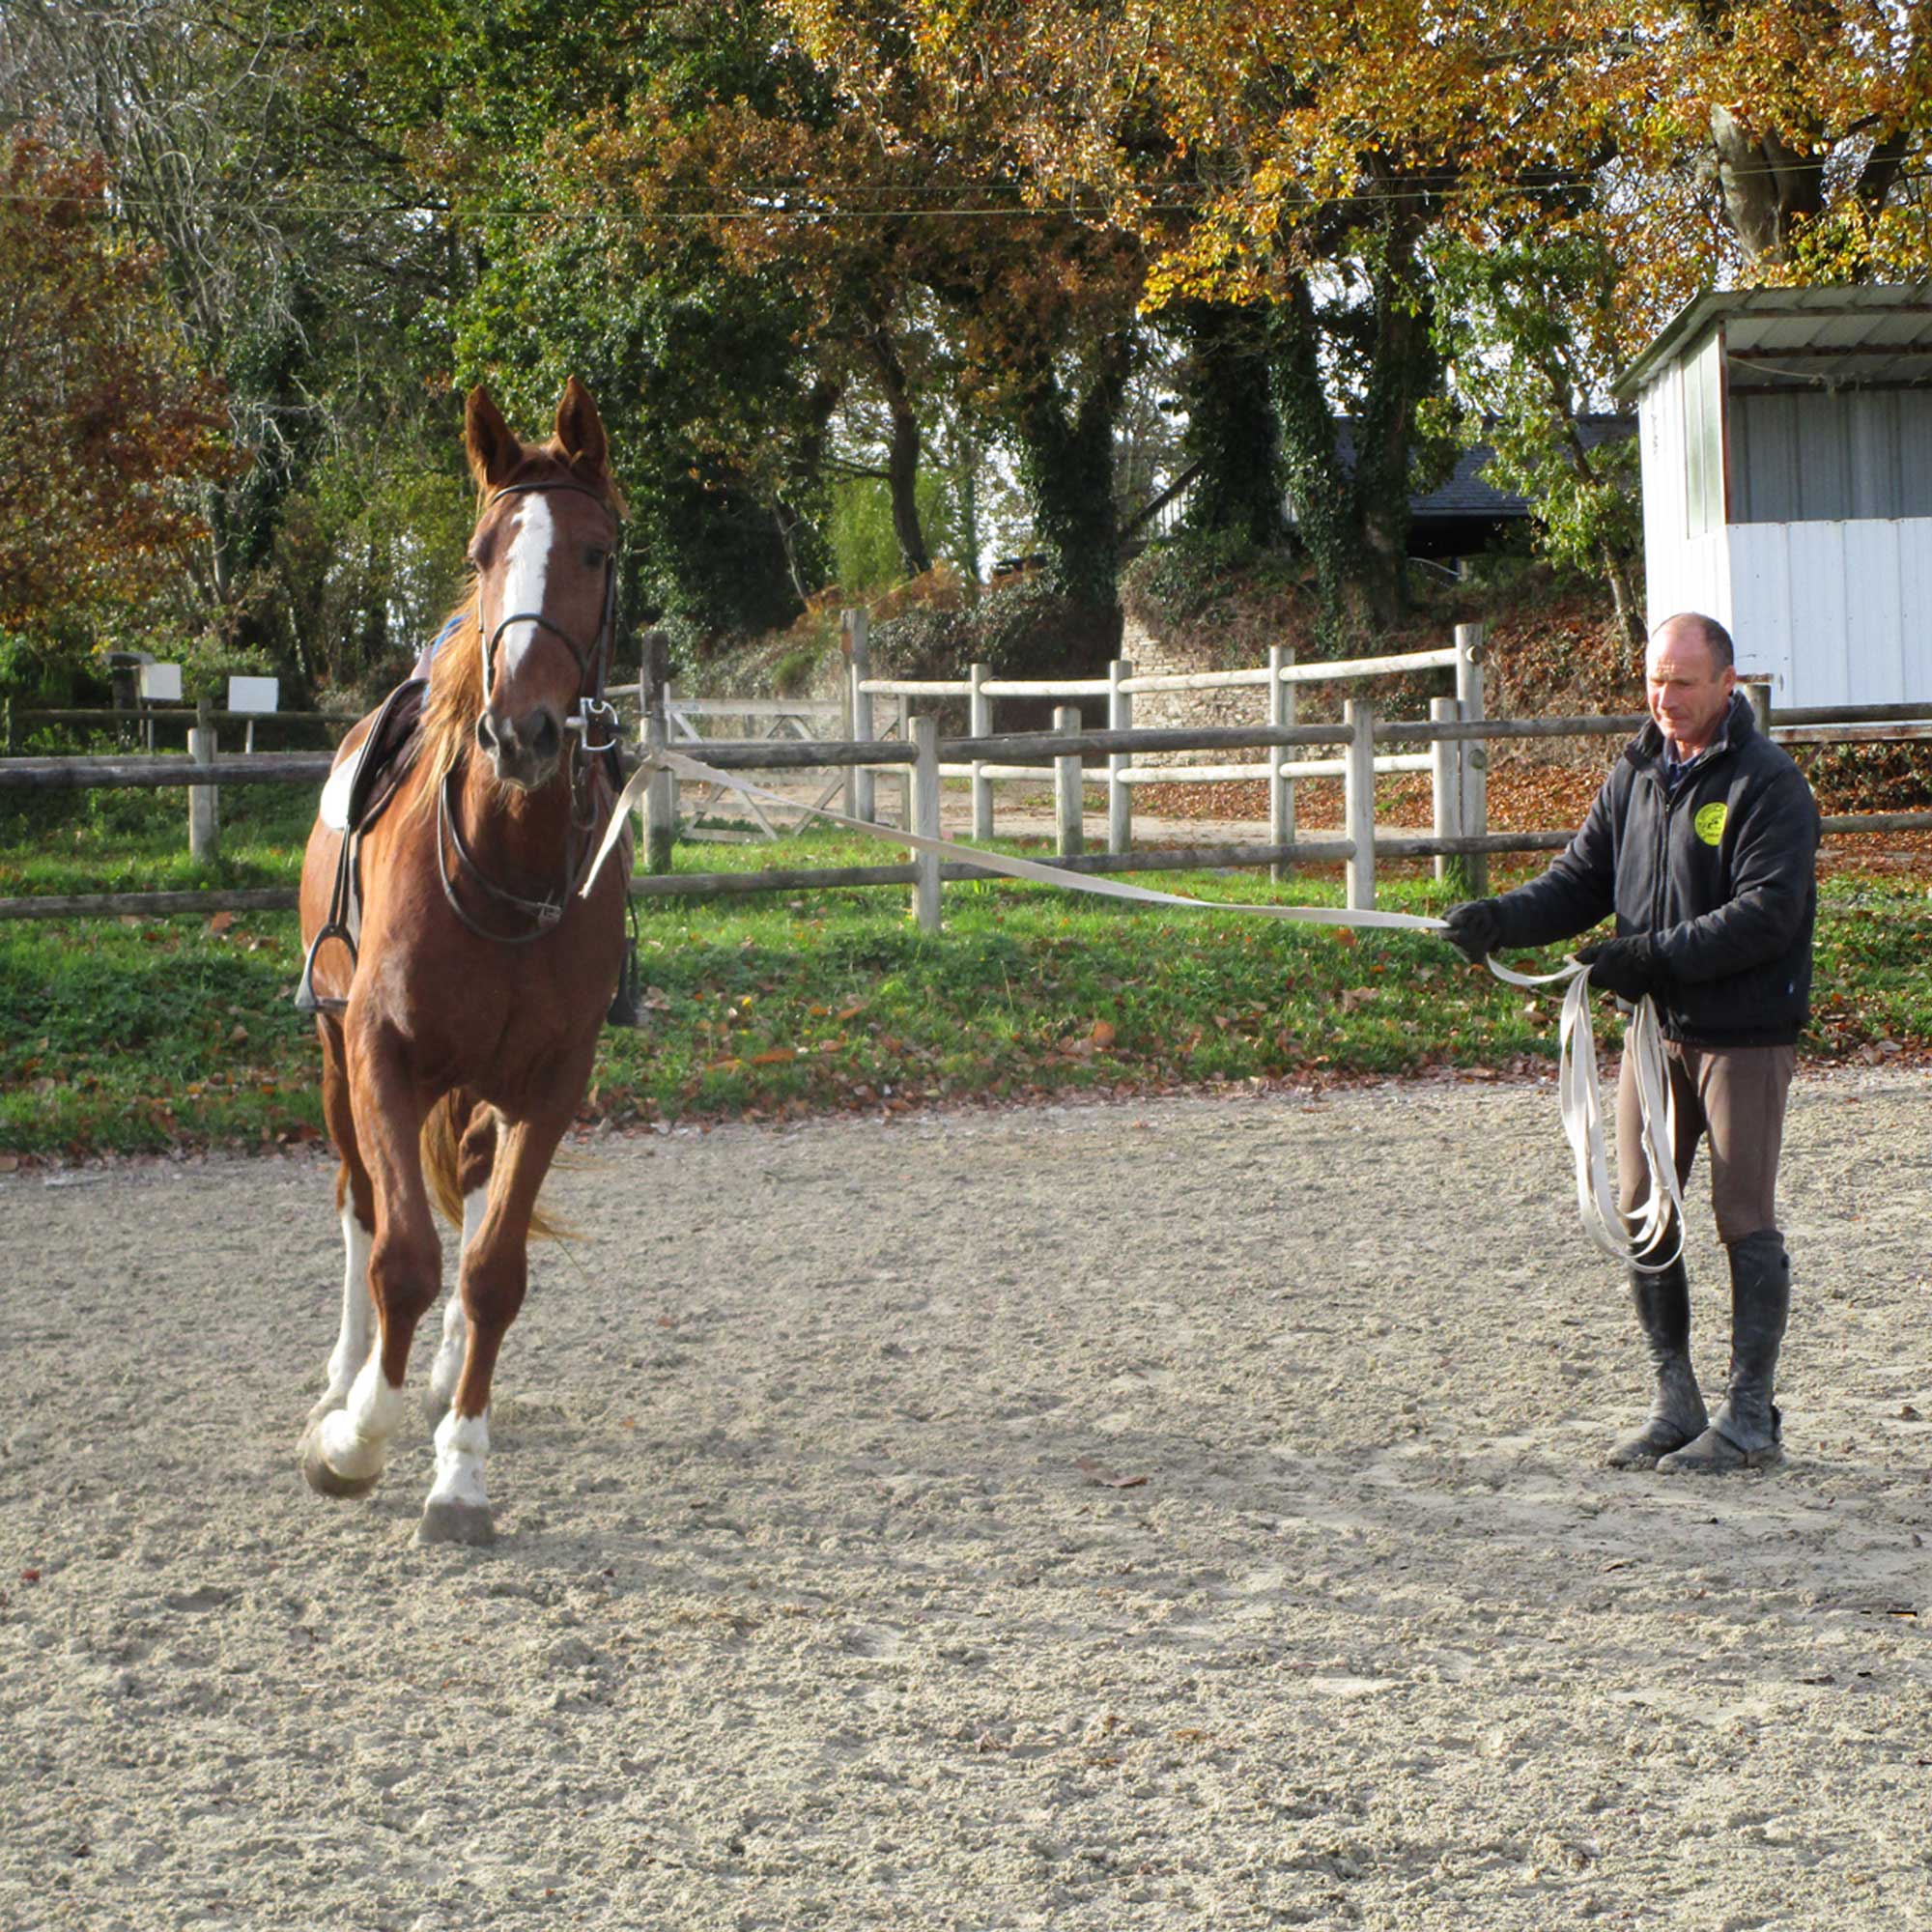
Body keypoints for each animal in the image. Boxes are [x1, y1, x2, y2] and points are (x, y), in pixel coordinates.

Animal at [296, 384, 626, 1546]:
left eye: (594, 552)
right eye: (484, 553)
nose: (521, 732)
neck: (500, 862)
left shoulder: (552, 1082)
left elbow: (490, 1274)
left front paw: (459, 1475)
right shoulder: (378, 1056)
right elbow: (402, 1255)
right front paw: (354, 1439)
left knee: (474, 1185)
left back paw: (435, 1380)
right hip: (332, 1059)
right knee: (359, 1201)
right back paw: (347, 1376)